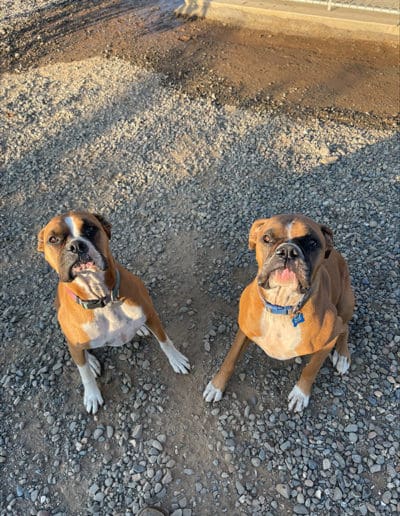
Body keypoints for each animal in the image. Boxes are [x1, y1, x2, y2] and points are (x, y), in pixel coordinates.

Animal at [36, 212, 190, 414]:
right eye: (53, 239)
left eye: (90, 228)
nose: (76, 246)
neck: (103, 299)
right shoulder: (76, 344)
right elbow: (84, 373)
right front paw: (92, 395)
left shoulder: (151, 315)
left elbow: (165, 342)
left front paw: (177, 359)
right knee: (81, 356)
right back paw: (92, 362)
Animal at [205, 213, 354, 412]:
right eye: (267, 238)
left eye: (312, 242)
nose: (288, 251)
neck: (282, 306)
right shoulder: (244, 330)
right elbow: (230, 358)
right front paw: (217, 385)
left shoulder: (327, 343)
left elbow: (311, 369)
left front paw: (300, 394)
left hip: (345, 305)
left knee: (345, 328)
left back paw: (343, 356)